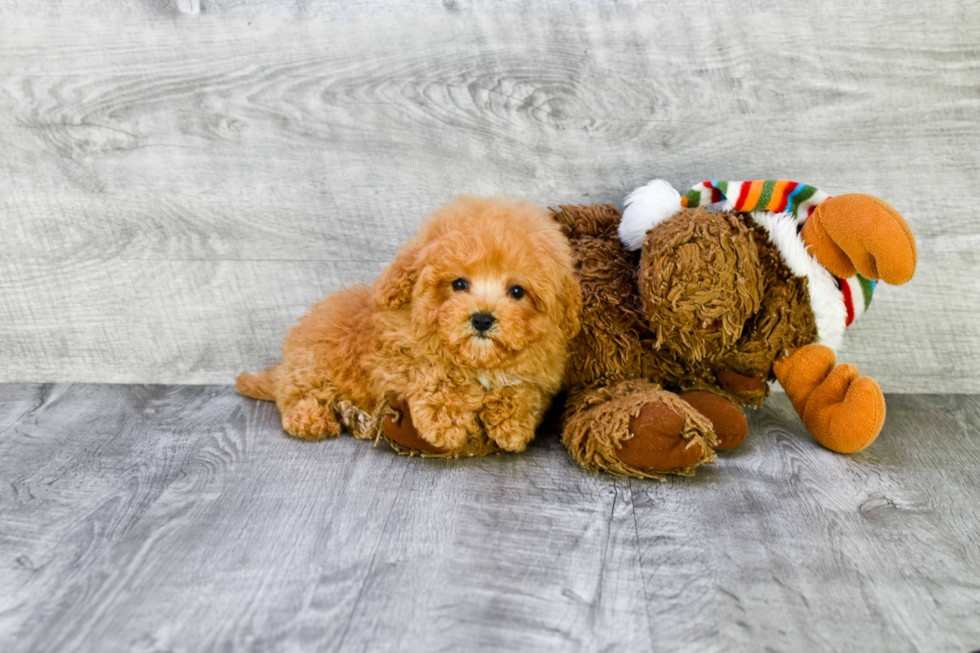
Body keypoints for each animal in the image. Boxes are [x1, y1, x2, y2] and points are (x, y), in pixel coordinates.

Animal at [235, 196, 580, 456]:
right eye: (458, 283)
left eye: (518, 291)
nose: (482, 318)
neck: (475, 359)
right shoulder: (390, 357)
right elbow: (432, 371)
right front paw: (446, 420)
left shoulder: (539, 370)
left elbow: (522, 389)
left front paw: (513, 423)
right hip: (314, 368)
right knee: (293, 396)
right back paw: (311, 418)